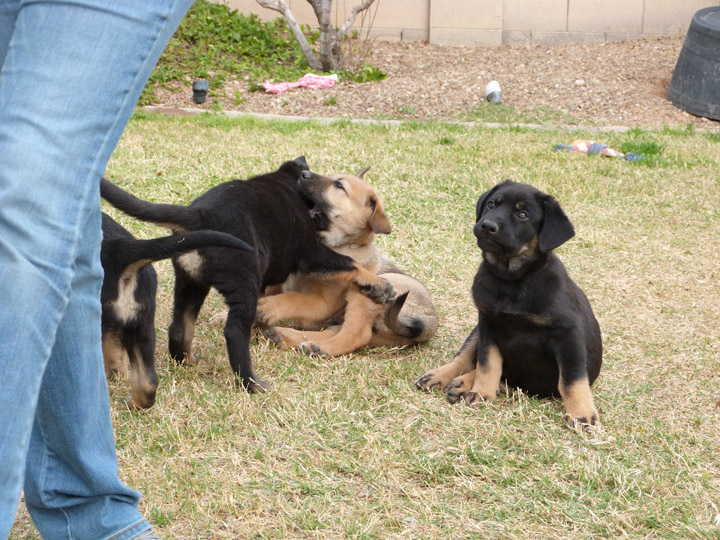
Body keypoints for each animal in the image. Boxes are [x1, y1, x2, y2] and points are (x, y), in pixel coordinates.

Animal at [258, 167, 438, 356]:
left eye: (339, 185)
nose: (303, 173)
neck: (339, 244)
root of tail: (430, 322)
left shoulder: (322, 304)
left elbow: (293, 298)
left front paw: (270, 306)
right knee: (335, 330)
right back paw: (291, 338)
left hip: (369, 293)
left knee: (355, 335)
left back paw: (320, 349)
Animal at [416, 181, 600, 430]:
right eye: (492, 204)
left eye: (522, 215)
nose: (487, 226)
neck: (510, 280)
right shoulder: (488, 324)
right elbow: (488, 363)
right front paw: (481, 392)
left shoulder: (567, 334)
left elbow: (572, 379)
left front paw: (581, 413)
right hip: (477, 331)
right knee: (466, 359)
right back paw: (443, 377)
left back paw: (462, 384)